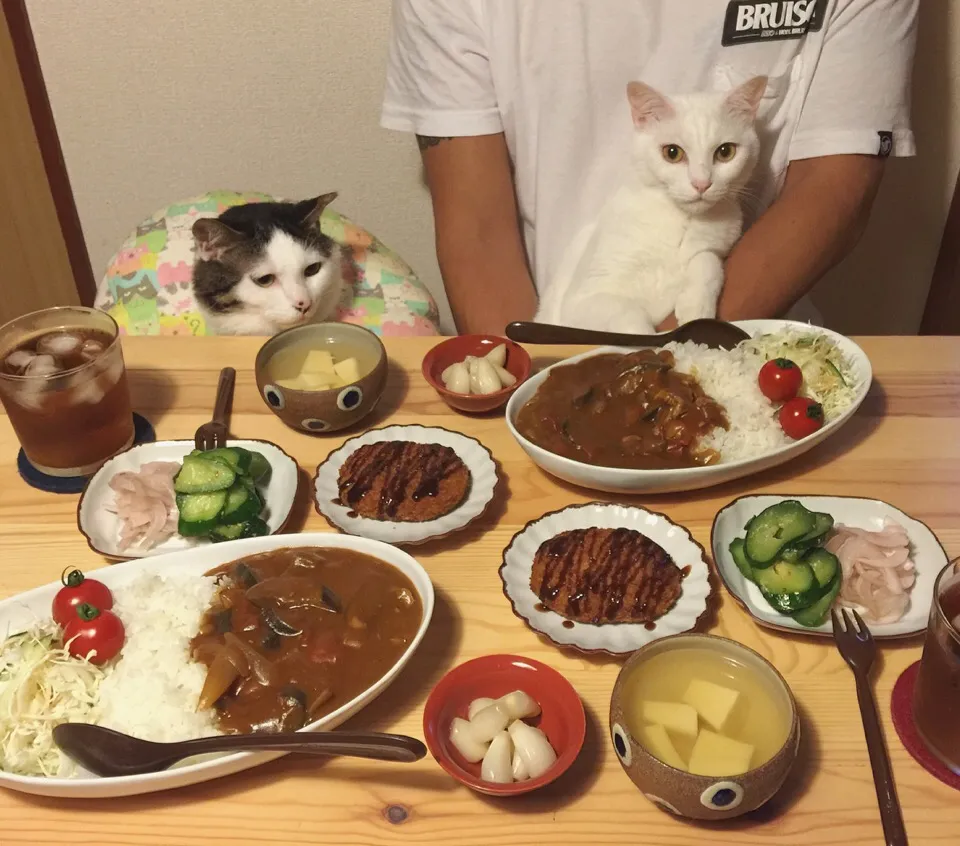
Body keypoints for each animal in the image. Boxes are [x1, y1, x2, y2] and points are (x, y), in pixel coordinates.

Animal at [536, 77, 768, 334]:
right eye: (672, 153)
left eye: (726, 151)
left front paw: (696, 308)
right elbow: (629, 317)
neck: (680, 221)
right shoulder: (582, 302)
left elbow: (707, 261)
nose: (701, 183)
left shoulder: (714, 247)